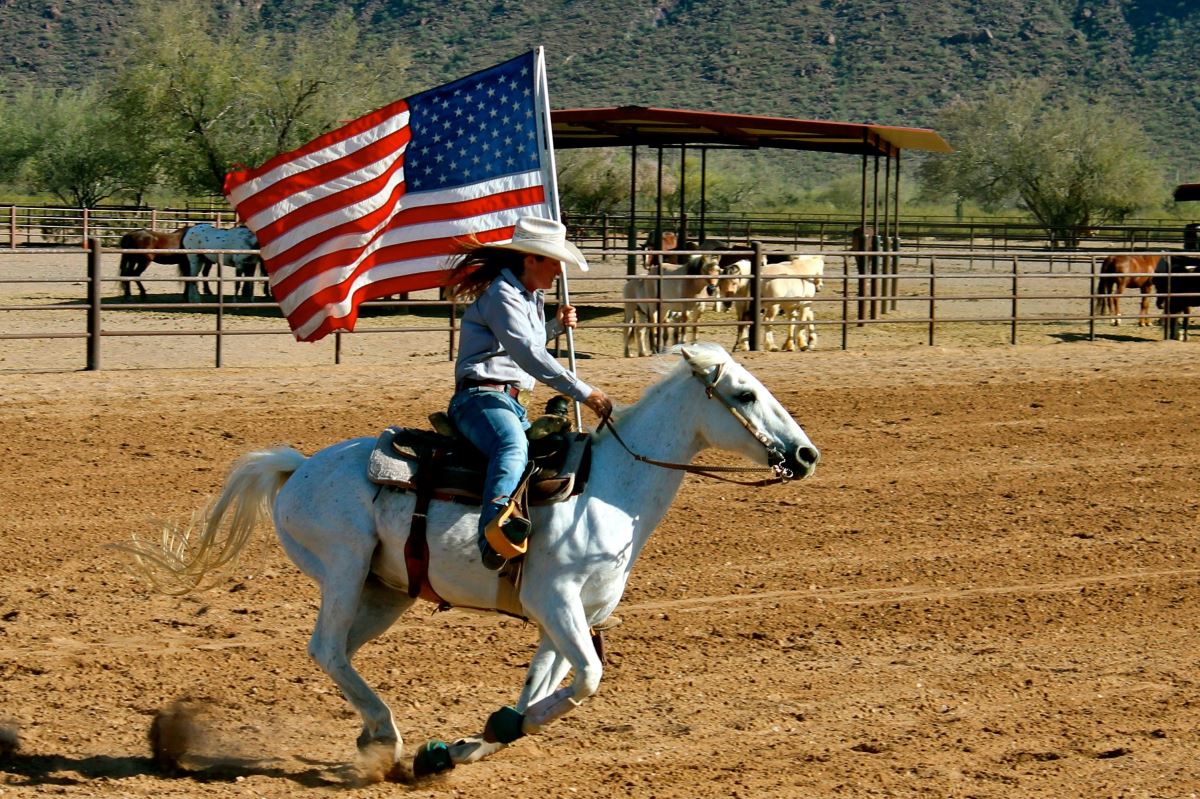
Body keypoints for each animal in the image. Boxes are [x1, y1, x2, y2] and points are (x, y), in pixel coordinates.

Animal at [117, 343, 816, 777]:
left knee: (340, 654)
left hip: (386, 590)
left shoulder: (564, 617)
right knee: (326, 648)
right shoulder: (556, 602)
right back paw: (388, 733)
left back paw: (377, 737)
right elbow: (588, 680)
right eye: (746, 395)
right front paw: (458, 744)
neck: (608, 490)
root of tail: (297, 466)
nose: (806, 455)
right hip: (344, 566)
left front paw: (463, 747)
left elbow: (540, 691)